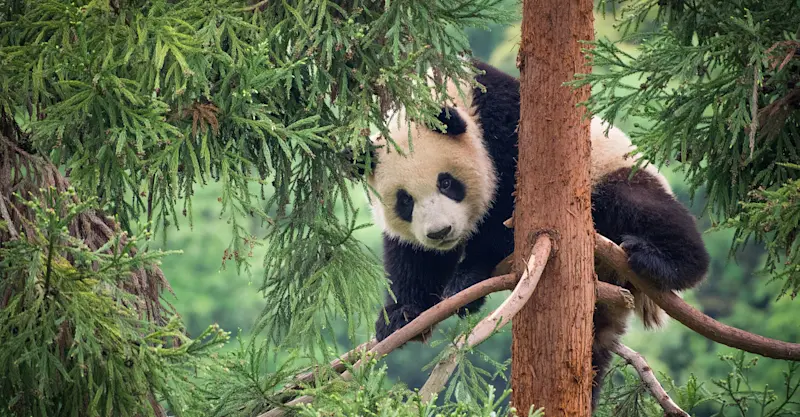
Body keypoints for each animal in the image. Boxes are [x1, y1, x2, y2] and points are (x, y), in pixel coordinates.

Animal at [355, 60, 710, 407]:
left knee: (638, 205)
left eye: (446, 182)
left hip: (610, 174)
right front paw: (400, 316)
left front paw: (465, 282)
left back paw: (661, 261)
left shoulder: (505, 133)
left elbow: (505, 216)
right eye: (404, 201)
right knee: (594, 344)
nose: (441, 232)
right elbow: (413, 256)